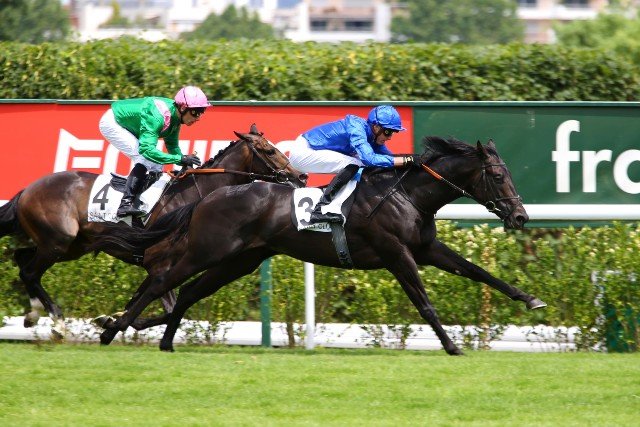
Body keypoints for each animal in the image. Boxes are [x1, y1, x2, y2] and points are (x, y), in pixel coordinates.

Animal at [0, 125, 307, 337]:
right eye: (270, 150)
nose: (300, 176)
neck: (194, 197)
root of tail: (28, 189)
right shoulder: (159, 264)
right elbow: (169, 309)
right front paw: (113, 322)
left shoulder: (157, 266)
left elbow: (145, 303)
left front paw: (111, 319)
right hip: (58, 241)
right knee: (30, 271)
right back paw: (57, 323)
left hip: (70, 246)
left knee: (22, 260)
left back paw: (33, 314)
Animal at [92, 136, 546, 355]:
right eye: (498, 176)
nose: (520, 217)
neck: (409, 195)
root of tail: (209, 195)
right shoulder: (396, 253)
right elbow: (424, 302)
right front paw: (452, 346)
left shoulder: (425, 249)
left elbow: (478, 271)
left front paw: (530, 299)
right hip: (208, 250)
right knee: (160, 281)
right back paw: (113, 327)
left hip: (239, 260)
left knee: (186, 291)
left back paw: (164, 340)